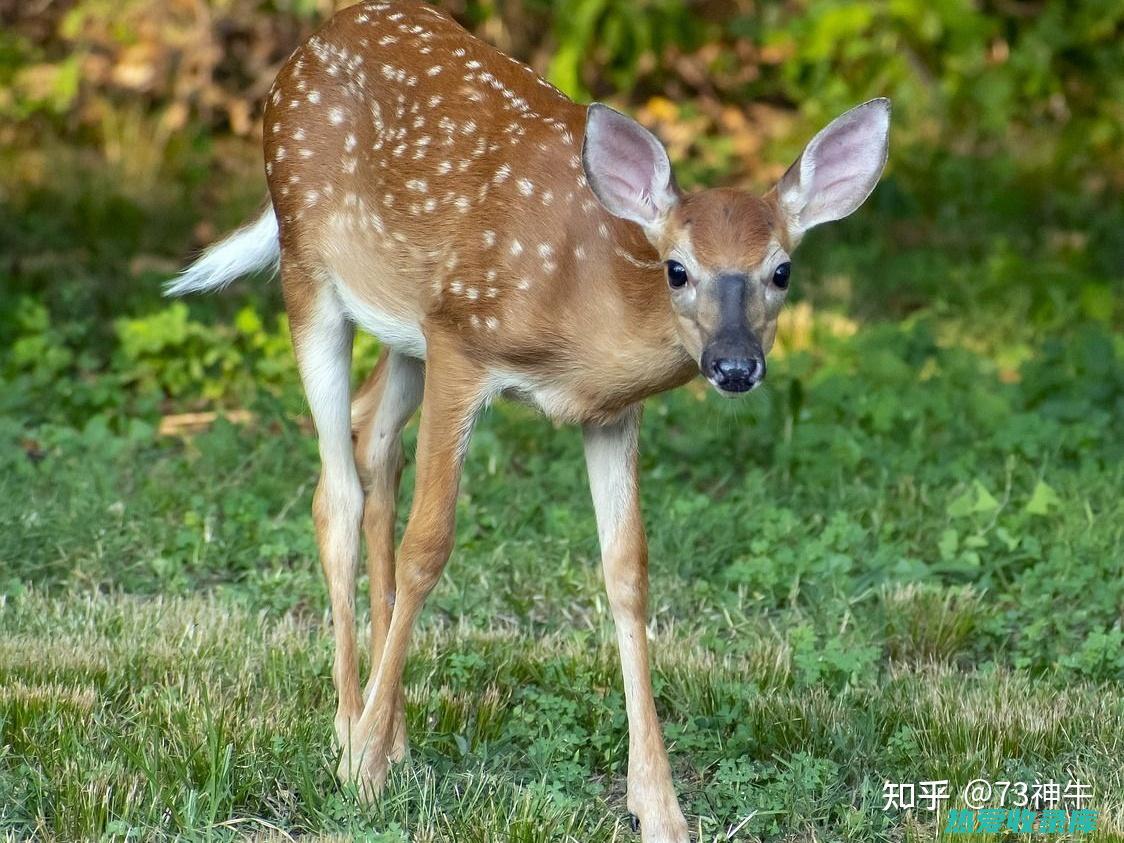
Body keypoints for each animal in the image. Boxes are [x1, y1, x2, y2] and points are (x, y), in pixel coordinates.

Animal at [164, 3, 885, 840]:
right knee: (335, 494)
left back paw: (392, 727)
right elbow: (428, 545)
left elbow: (628, 571)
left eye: (781, 271)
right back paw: (351, 731)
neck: (584, 297)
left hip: (401, 326)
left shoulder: (610, 412)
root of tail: (308, 47)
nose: (735, 365)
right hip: (311, 271)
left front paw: (660, 806)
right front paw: (361, 773)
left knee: (373, 439)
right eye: (678, 269)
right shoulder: (461, 341)